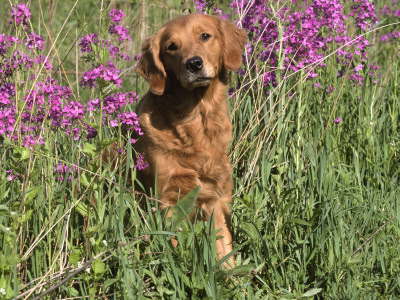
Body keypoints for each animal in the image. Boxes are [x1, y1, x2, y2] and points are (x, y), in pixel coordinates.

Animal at [135, 13, 247, 268]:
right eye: (171, 47)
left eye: (205, 36)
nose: (193, 64)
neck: (197, 120)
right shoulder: (167, 199)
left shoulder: (214, 198)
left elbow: (223, 250)